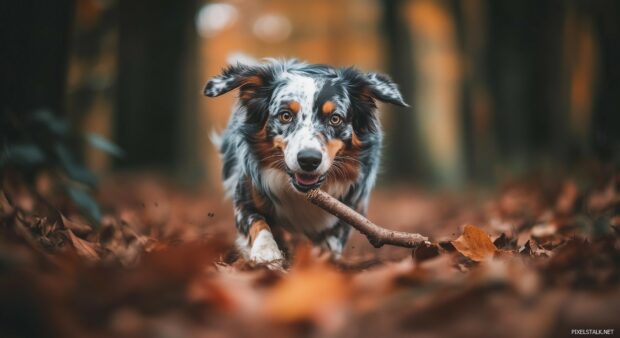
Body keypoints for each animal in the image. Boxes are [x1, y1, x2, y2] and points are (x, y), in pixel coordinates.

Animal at [203, 58, 406, 266]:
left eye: (335, 119)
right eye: (285, 115)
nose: (309, 160)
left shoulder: (350, 210)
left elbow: (332, 242)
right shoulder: (245, 198)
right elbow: (258, 222)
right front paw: (267, 252)